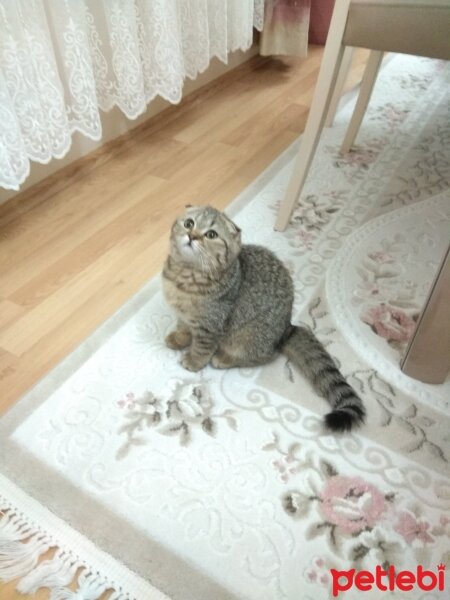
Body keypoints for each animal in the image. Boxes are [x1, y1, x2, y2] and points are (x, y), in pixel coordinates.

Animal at [162, 206, 366, 432]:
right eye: (189, 223)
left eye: (211, 235)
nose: (192, 235)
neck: (187, 273)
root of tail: (287, 328)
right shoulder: (184, 315)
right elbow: (183, 328)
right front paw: (179, 339)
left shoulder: (211, 326)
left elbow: (201, 347)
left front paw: (194, 360)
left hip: (247, 337)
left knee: (263, 356)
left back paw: (224, 359)